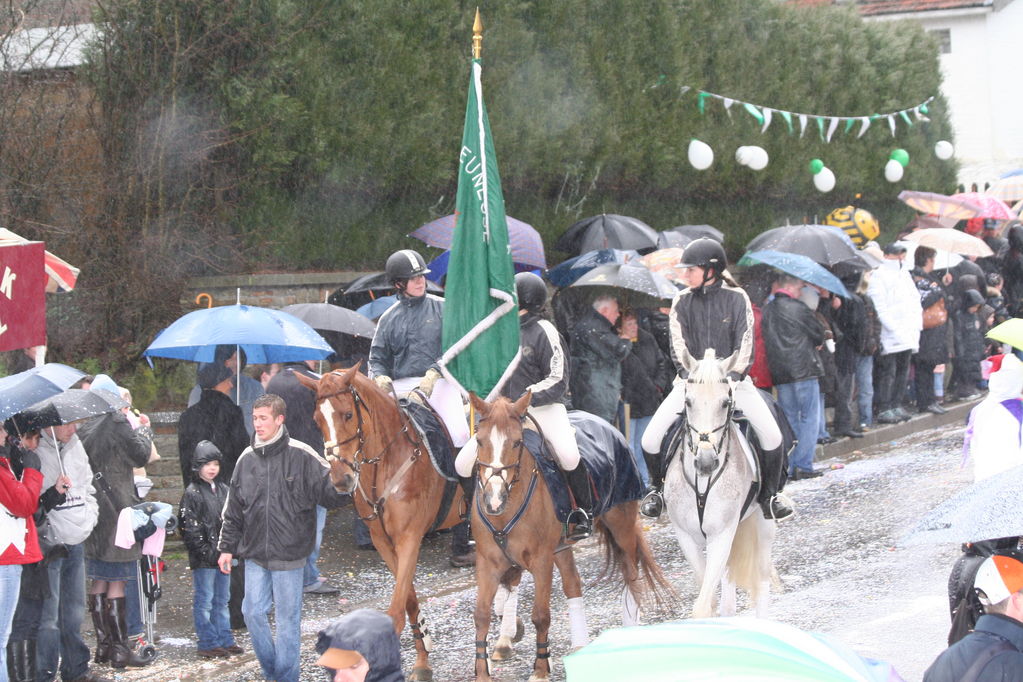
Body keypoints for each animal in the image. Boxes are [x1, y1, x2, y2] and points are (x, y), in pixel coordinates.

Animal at [298, 366, 493, 678]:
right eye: (317, 420)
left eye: (348, 414)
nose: (341, 479)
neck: (385, 462)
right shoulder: (383, 541)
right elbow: (409, 600)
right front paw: (423, 657)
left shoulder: (409, 538)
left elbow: (395, 611)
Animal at [466, 392, 671, 678]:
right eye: (479, 440)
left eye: (516, 442)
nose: (493, 500)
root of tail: (608, 425)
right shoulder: (488, 561)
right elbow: (482, 614)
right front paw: (483, 672)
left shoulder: (541, 560)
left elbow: (541, 614)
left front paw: (541, 670)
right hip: (561, 547)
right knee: (573, 583)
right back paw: (580, 645)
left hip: (621, 524)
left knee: (631, 574)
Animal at [662, 349, 773, 621]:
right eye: (688, 402)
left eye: (724, 403)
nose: (705, 462)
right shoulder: (686, 537)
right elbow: (709, 599)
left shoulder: (721, 535)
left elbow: (703, 605)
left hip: (764, 523)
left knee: (762, 576)